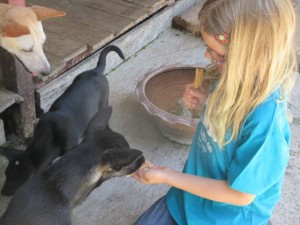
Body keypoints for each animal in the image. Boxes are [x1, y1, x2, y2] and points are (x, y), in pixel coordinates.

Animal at [0, 45, 124, 195]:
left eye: (15, 182)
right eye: (6, 175)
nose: (2, 193)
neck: (49, 137)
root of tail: (96, 70)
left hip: (103, 102)